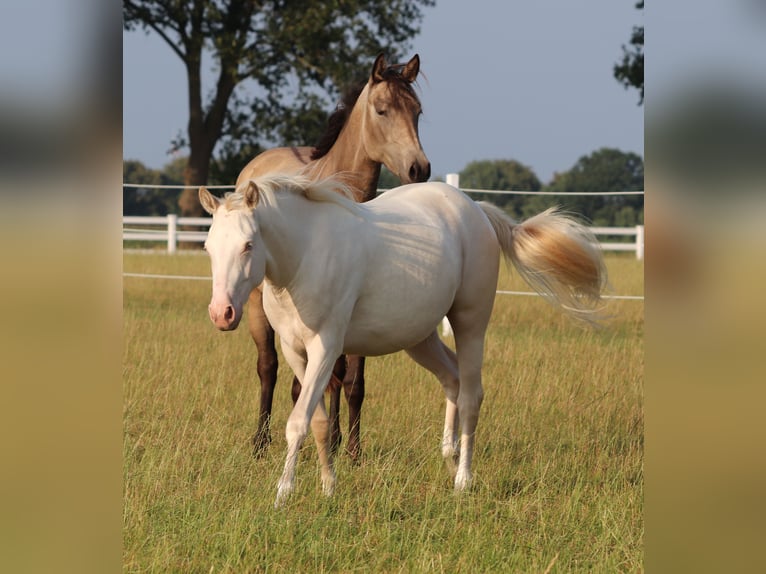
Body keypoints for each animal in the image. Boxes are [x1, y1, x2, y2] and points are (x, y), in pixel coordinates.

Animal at [199, 174, 607, 507]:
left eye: (248, 244)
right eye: (208, 247)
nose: (222, 314)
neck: (305, 257)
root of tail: (477, 210)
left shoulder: (326, 348)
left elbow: (298, 423)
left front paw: (283, 493)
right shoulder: (294, 351)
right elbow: (317, 422)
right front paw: (329, 487)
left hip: (471, 324)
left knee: (471, 396)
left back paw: (463, 480)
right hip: (420, 338)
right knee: (452, 380)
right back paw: (449, 457)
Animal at [235, 53, 430, 462]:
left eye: (418, 111)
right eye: (382, 110)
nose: (419, 168)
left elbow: (353, 381)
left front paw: (351, 449)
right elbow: (306, 379)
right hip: (259, 306)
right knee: (268, 367)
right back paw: (260, 442)